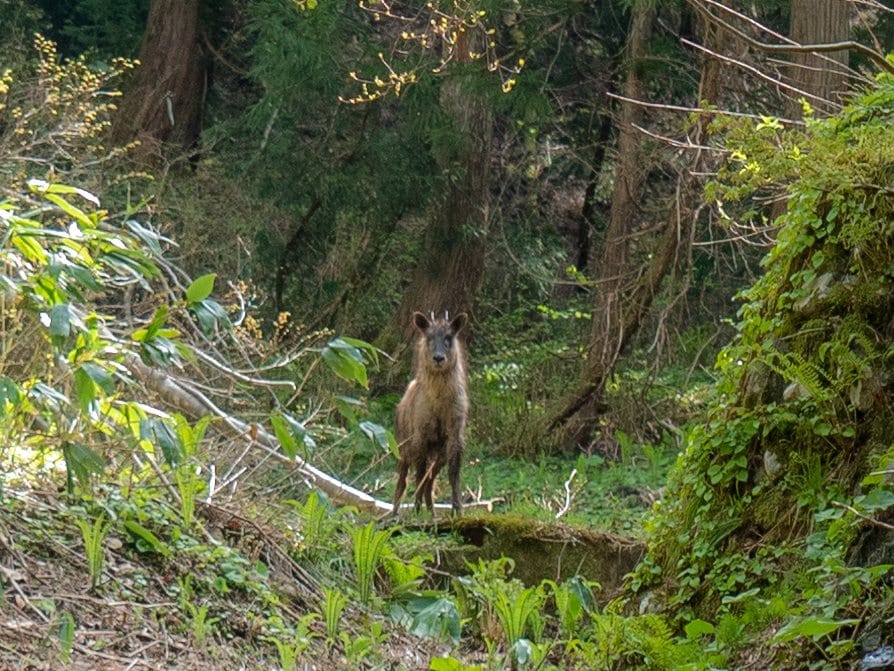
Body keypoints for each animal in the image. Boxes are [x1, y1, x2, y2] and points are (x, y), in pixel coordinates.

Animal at [392, 311, 469, 517]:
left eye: (449, 337)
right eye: (429, 338)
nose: (438, 358)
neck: (439, 402)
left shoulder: (455, 434)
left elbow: (453, 473)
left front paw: (458, 509)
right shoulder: (420, 436)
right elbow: (418, 474)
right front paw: (416, 510)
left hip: (438, 453)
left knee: (430, 480)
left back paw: (432, 512)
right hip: (402, 447)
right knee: (403, 481)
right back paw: (394, 513)